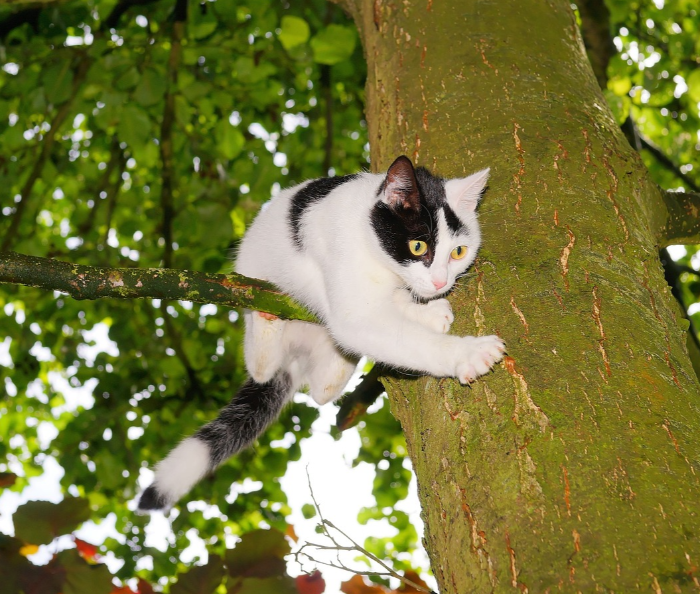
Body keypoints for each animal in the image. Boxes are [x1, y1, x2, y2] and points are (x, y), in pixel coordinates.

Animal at [137, 155, 505, 511]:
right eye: (417, 246)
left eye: (458, 252)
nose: (441, 282)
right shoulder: (348, 280)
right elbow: (386, 329)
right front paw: (469, 354)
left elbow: (394, 307)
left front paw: (427, 311)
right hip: (254, 288)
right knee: (261, 368)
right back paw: (267, 322)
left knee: (321, 390)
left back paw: (337, 367)